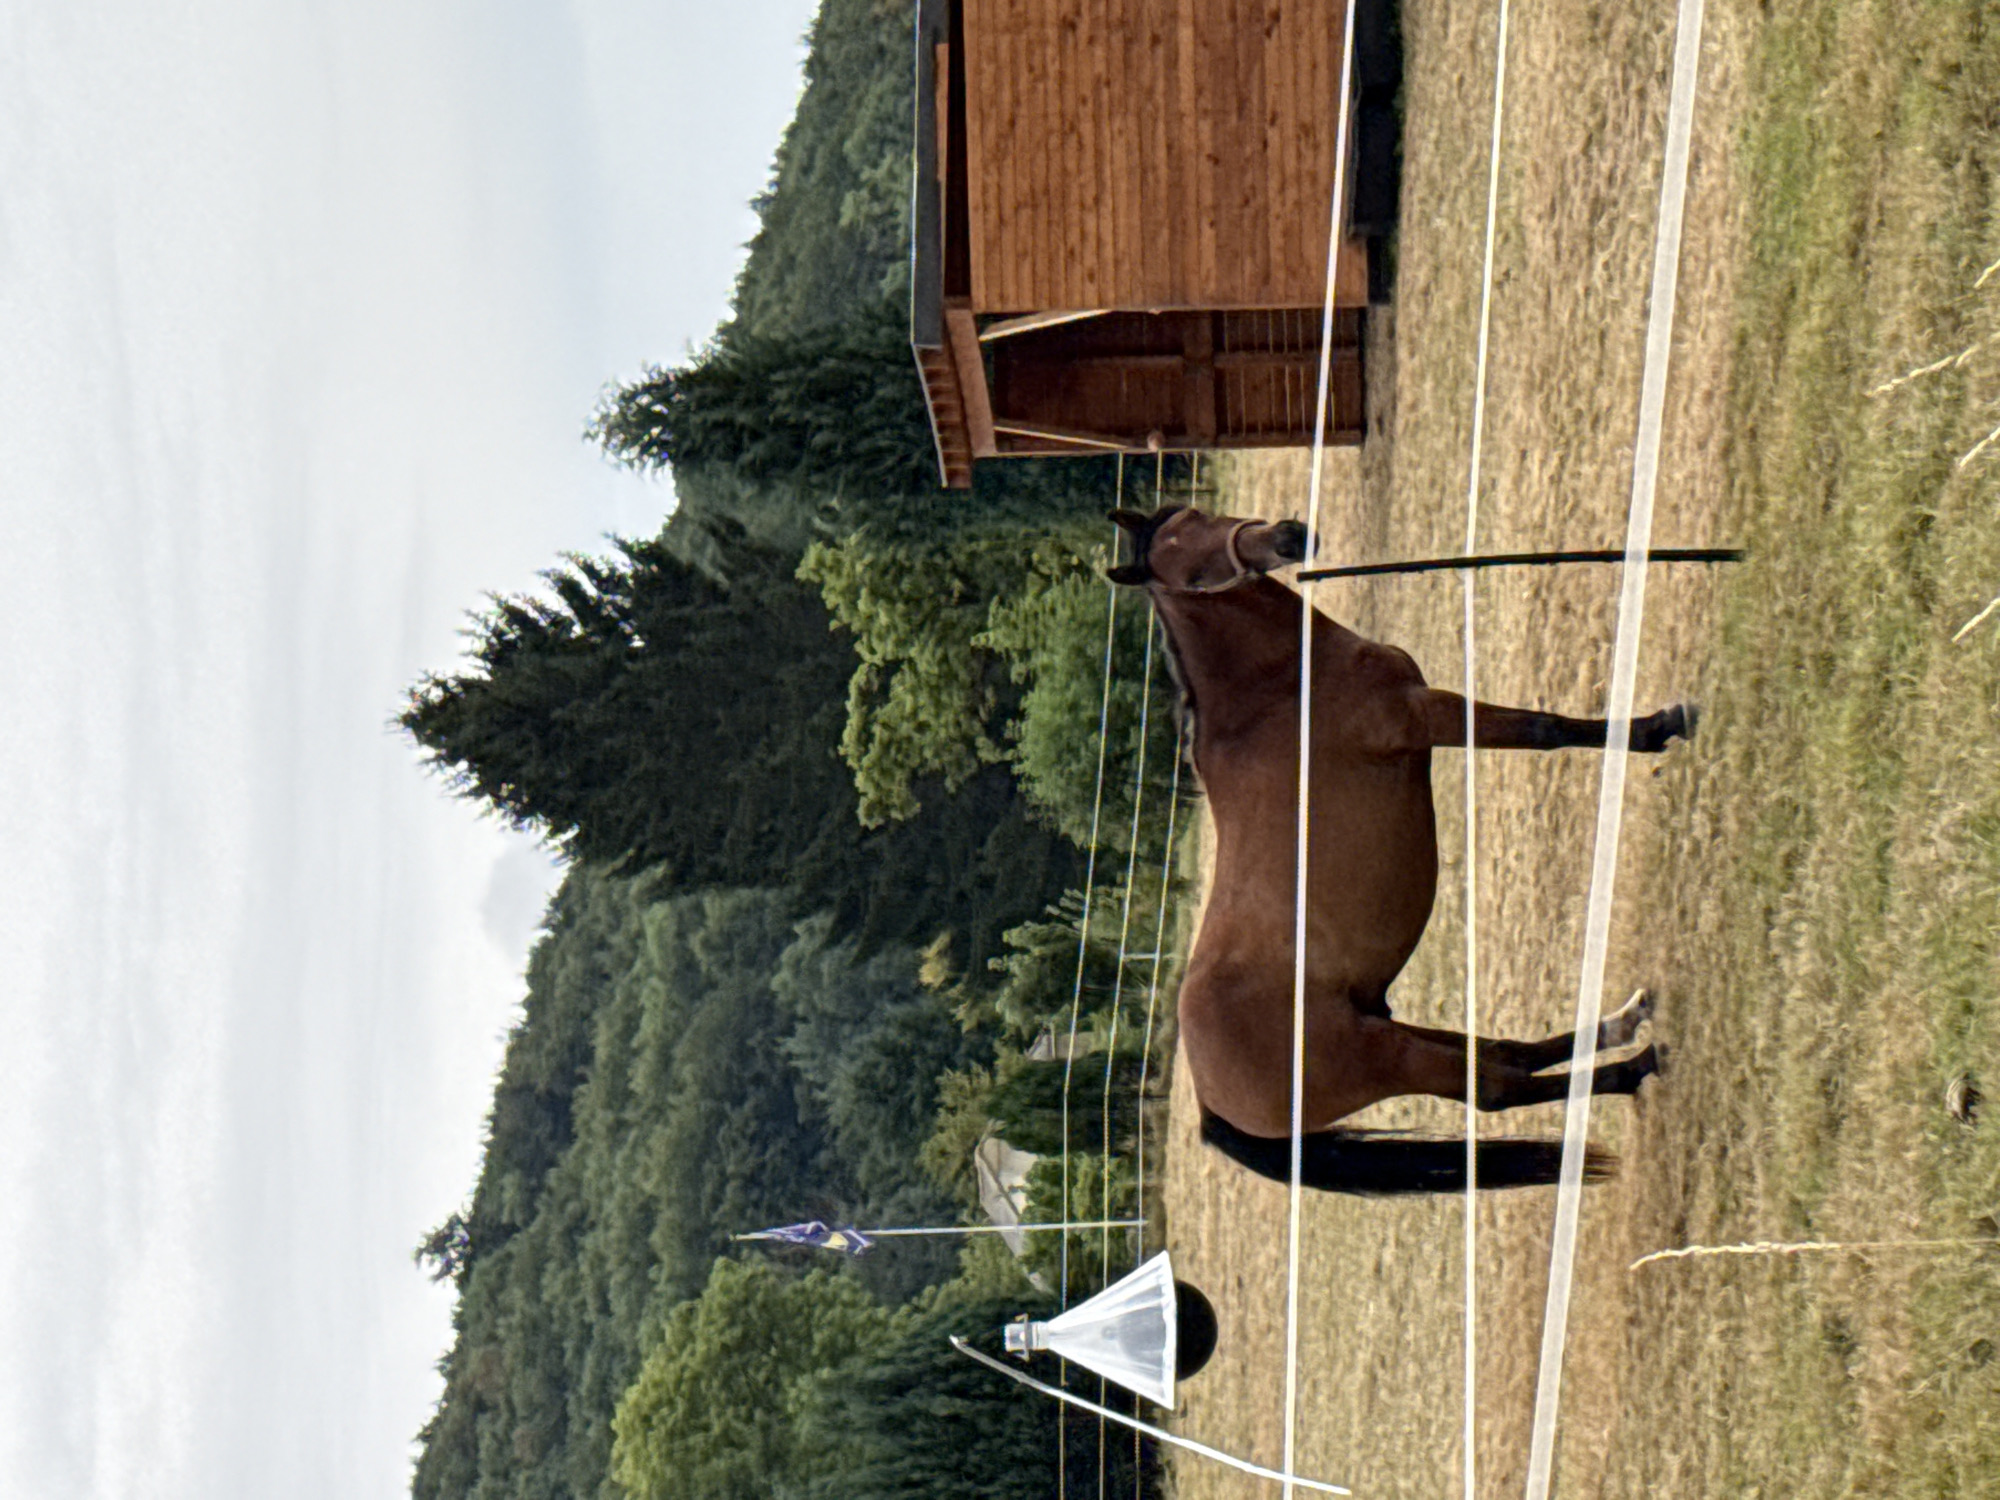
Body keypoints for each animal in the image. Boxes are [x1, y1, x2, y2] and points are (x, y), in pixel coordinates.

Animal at [1106, 504, 1689, 1194]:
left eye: (1197, 515)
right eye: (1191, 576)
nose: (1289, 537)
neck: (1279, 691)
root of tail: (1207, 1107)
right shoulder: (1427, 715)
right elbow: (1544, 730)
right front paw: (1657, 728)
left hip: (1383, 1023)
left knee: (1498, 1052)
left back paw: (1621, 1023)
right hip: (1385, 1059)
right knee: (1495, 1087)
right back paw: (1634, 1067)